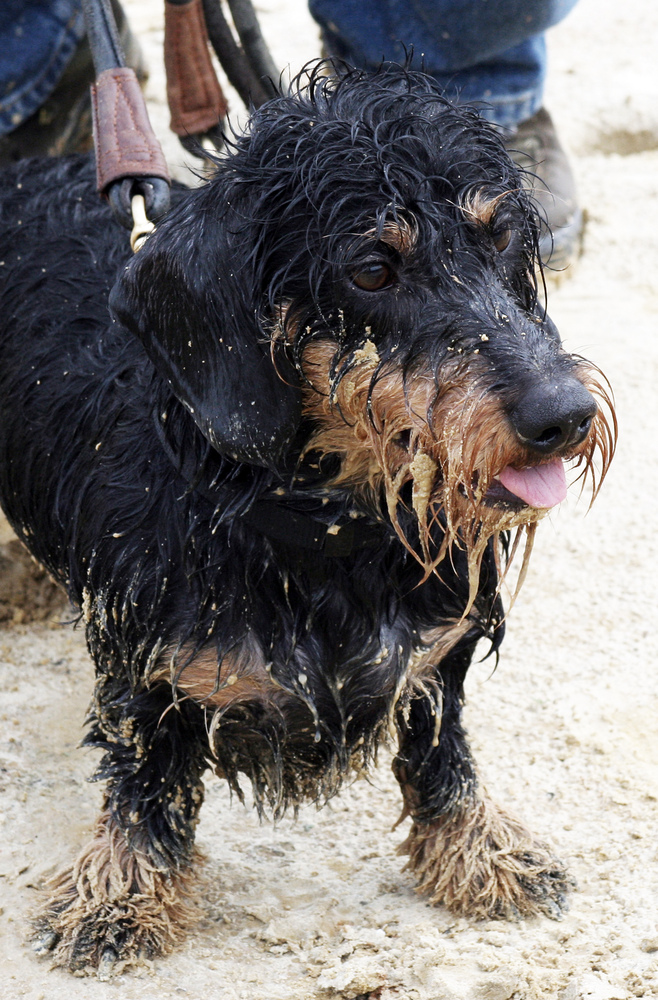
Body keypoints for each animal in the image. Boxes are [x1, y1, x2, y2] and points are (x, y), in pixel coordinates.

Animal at [0, 66, 612, 972]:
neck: (318, 532)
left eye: (501, 236)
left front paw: (478, 854)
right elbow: (145, 785)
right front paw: (118, 899)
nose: (564, 416)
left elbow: (442, 753)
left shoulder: (437, 655)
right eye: (372, 269)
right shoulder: (143, 672)